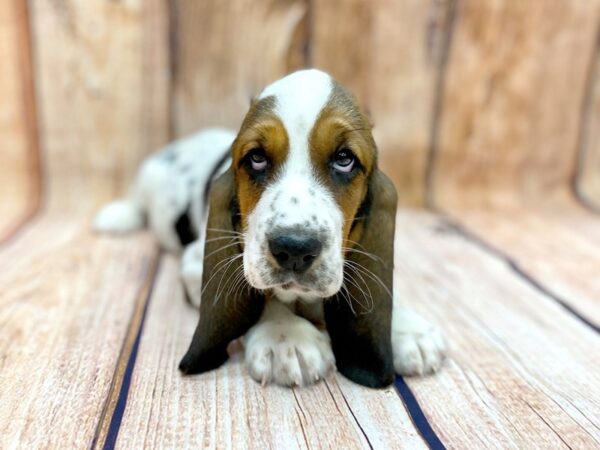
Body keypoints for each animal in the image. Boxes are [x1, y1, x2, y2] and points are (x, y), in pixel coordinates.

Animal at [97, 68, 446, 388]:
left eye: (344, 158)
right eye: (257, 158)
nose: (295, 249)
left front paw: (405, 328)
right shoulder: (196, 264)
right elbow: (260, 292)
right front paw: (286, 337)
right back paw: (118, 216)